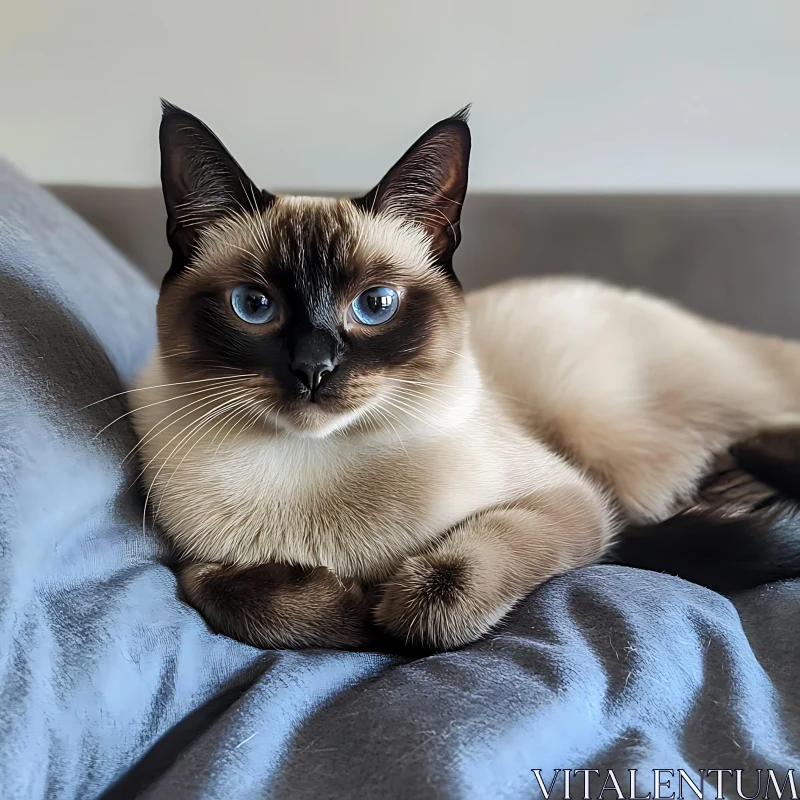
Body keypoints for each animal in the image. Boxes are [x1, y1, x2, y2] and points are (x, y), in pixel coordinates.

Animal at [130, 101, 800, 648]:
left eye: (375, 305)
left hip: (609, 440)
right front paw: (347, 607)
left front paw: (382, 608)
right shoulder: (189, 559)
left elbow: (436, 599)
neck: (306, 471)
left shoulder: (572, 503)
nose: (313, 370)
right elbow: (221, 591)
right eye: (253, 305)